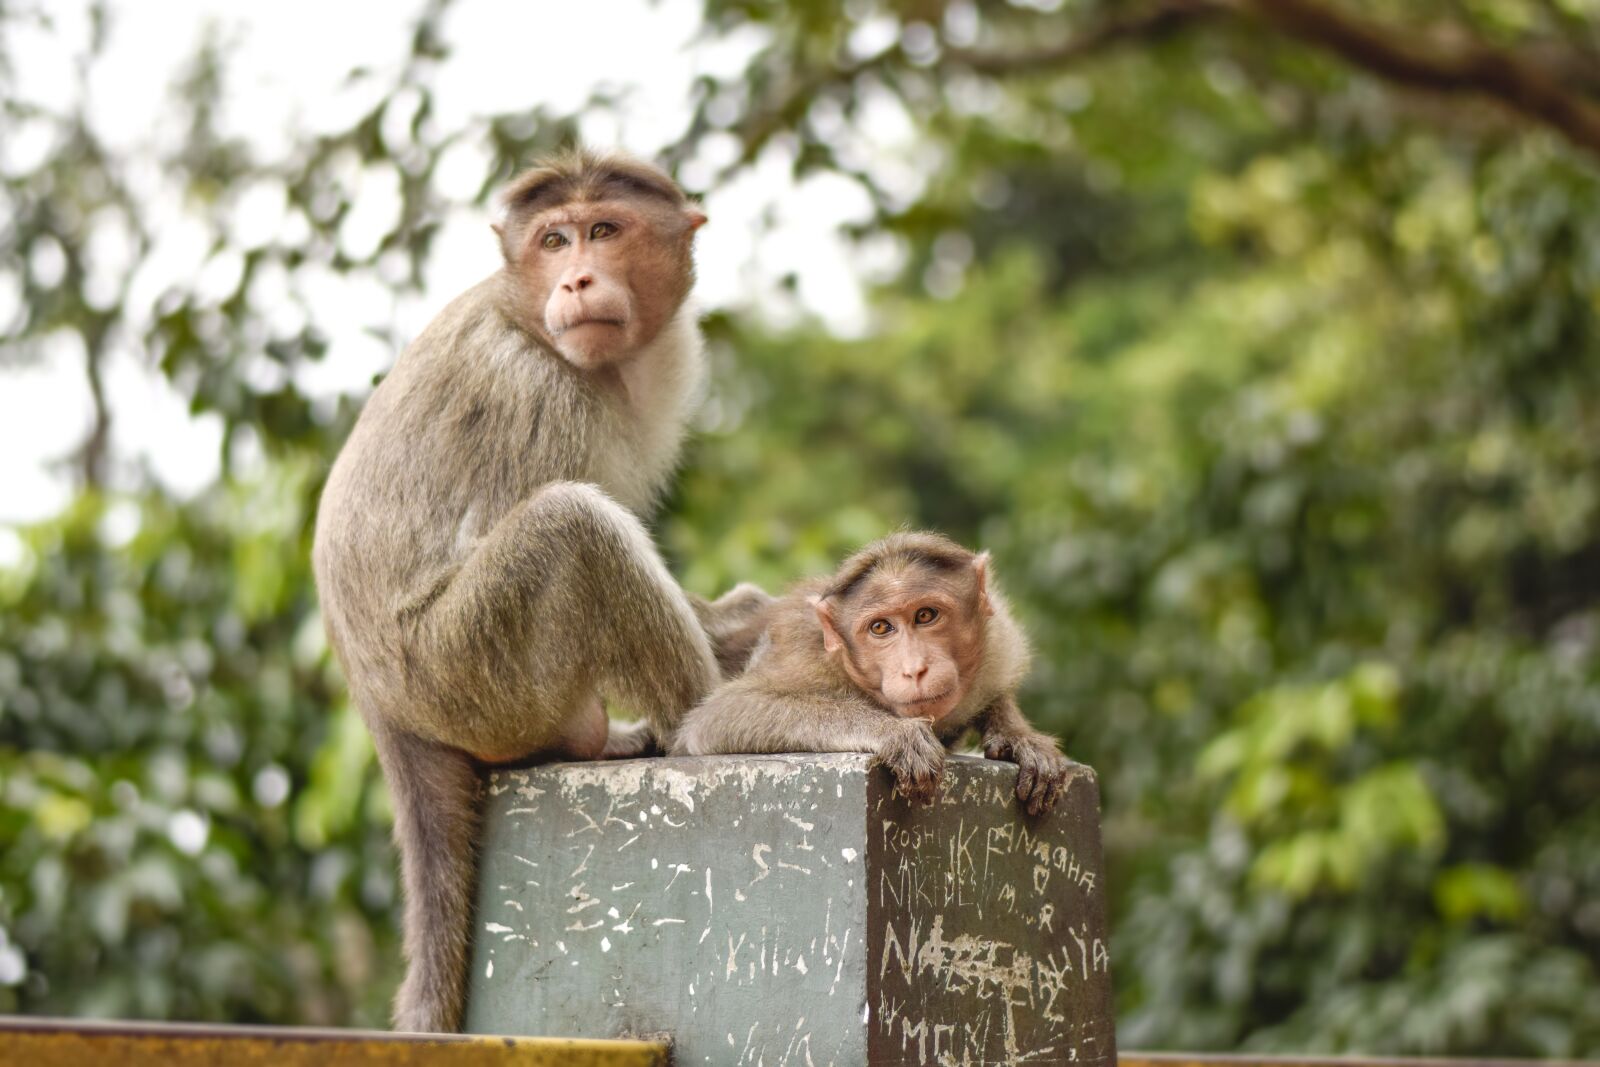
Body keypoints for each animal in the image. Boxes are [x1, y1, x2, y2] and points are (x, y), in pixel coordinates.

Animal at [312, 149, 732, 1033]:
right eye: (554, 240)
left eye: (603, 229)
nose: (575, 278)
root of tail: (383, 711)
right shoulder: (542, 398)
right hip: (470, 673)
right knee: (573, 523)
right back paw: (698, 721)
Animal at [671, 532, 1073, 815]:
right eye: (881, 628)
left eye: (926, 615)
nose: (914, 669)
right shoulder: (809, 655)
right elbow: (721, 715)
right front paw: (895, 733)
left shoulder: (1000, 644)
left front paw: (1018, 737)